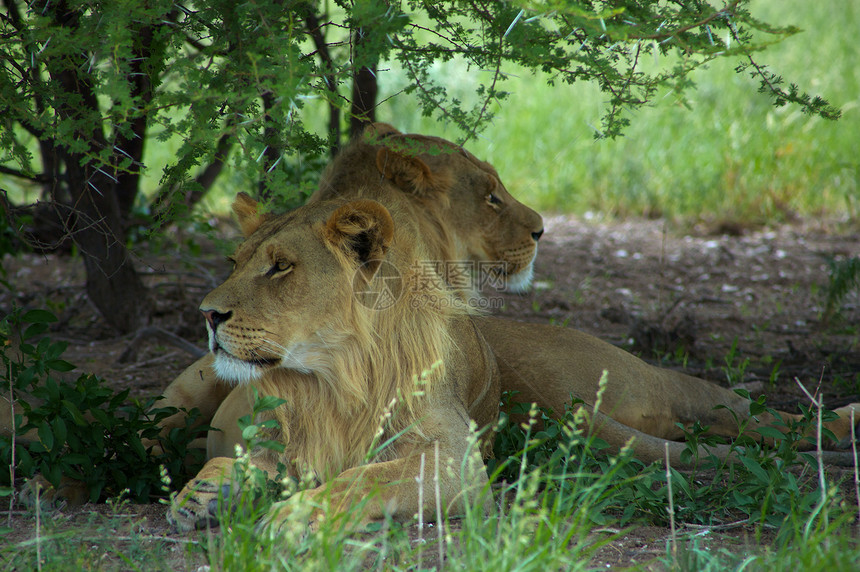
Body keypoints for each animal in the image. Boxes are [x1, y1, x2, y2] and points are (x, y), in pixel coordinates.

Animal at [165, 193, 500, 532]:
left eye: (281, 266)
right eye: (235, 264)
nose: (207, 314)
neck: (334, 375)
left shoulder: (458, 459)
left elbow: (364, 477)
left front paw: (298, 514)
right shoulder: (282, 449)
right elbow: (233, 463)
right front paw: (202, 493)